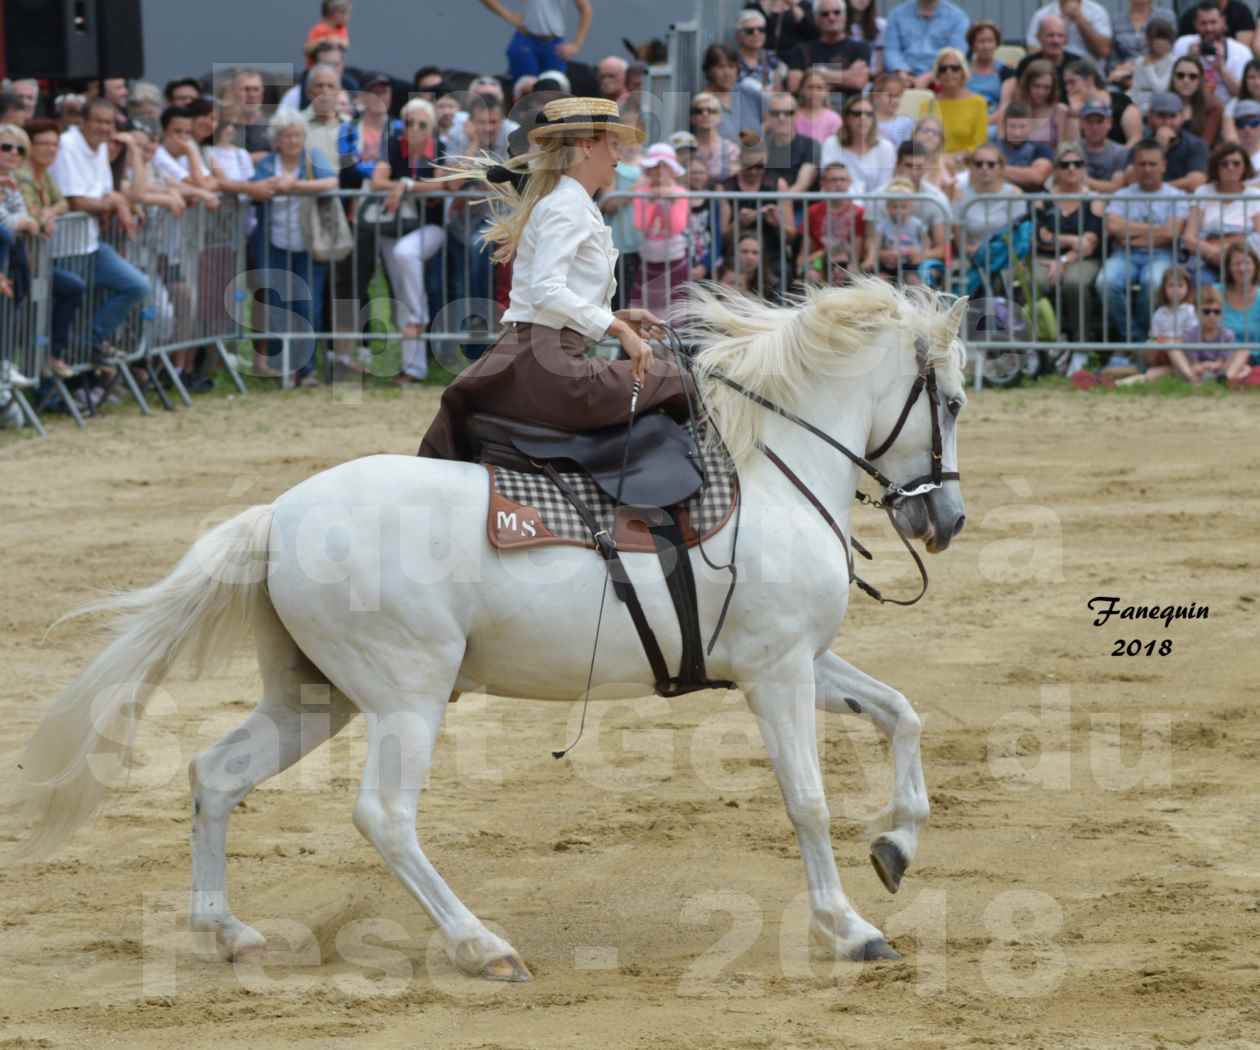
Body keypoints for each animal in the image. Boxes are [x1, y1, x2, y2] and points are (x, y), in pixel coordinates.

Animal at [9, 278, 967, 983]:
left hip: (313, 699)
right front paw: (851, 928)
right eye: (952, 402)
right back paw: (483, 946)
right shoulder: (777, 674)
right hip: (406, 698)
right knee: (384, 816)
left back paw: (228, 930)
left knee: (215, 775)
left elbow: (902, 712)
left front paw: (896, 846)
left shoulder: (805, 660)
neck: (774, 471)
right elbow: (807, 800)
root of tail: (278, 515)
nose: (946, 520)